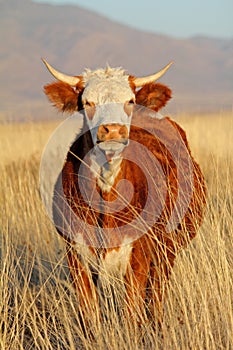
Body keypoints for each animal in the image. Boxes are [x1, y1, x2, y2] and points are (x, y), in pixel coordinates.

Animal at [41, 59, 206, 326]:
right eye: (88, 103)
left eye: (129, 100)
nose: (113, 130)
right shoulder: (76, 256)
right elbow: (90, 316)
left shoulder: (139, 257)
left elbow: (132, 314)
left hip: (167, 251)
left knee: (155, 298)